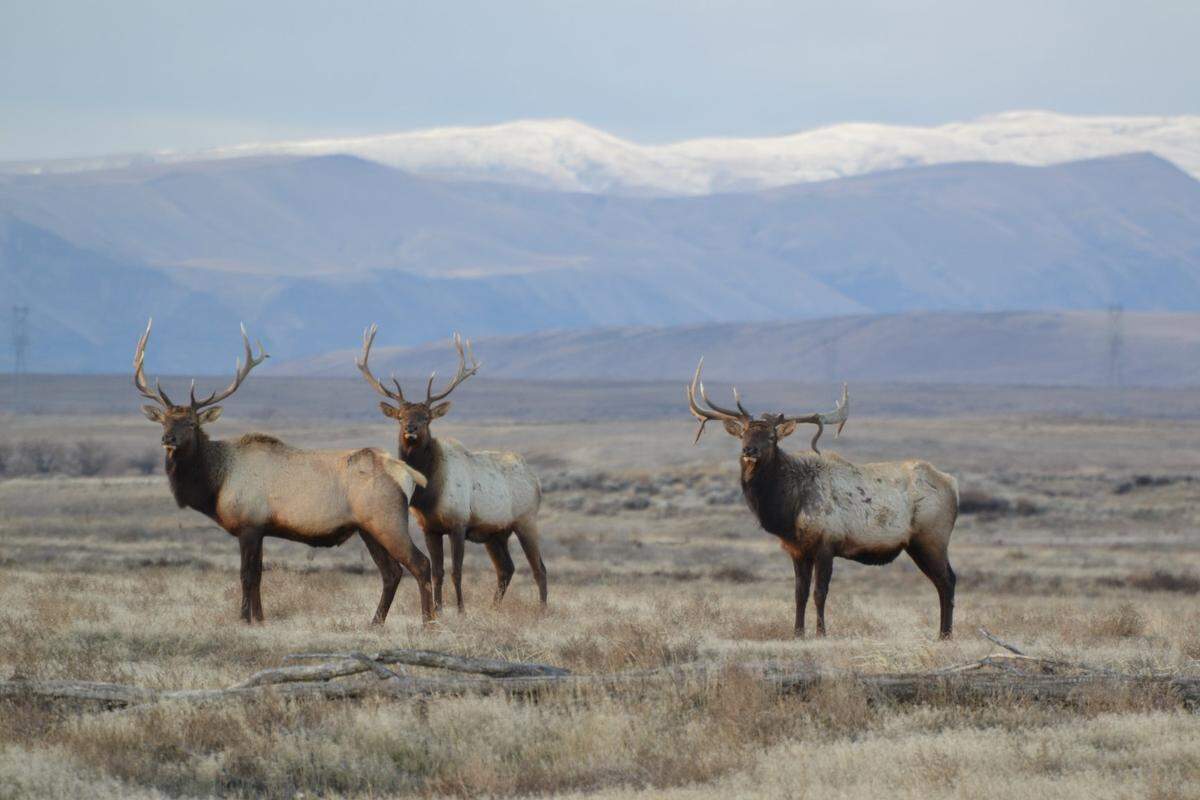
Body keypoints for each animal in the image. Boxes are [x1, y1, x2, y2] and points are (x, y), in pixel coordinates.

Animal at [133, 320, 435, 625]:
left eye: (192, 423)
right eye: (164, 421)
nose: (168, 439)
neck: (216, 483)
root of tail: (407, 473)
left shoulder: (249, 524)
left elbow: (247, 575)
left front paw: (244, 619)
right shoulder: (262, 529)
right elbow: (258, 575)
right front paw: (260, 618)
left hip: (387, 520)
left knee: (420, 563)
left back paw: (428, 622)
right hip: (367, 529)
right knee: (392, 572)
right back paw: (375, 622)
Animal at [356, 325, 547, 612]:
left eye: (426, 417)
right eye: (400, 417)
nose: (410, 429)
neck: (429, 493)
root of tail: (537, 481)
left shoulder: (459, 524)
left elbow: (457, 571)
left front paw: (460, 611)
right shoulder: (430, 528)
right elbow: (438, 572)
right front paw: (438, 609)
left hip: (526, 520)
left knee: (539, 569)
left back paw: (542, 611)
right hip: (495, 533)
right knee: (506, 568)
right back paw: (494, 608)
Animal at [687, 359, 959, 639]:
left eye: (772, 437)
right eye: (744, 434)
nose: (749, 450)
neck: (787, 508)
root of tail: (952, 483)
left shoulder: (827, 543)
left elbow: (820, 593)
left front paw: (821, 632)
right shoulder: (797, 549)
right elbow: (799, 594)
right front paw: (797, 633)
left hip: (932, 537)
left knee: (947, 581)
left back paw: (945, 634)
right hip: (918, 544)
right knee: (943, 581)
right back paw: (943, 633)